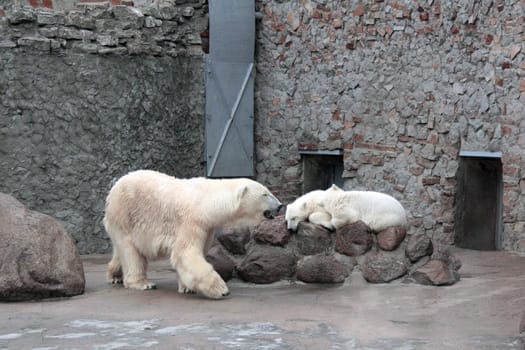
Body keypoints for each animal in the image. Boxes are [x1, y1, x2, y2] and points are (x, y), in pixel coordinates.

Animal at [103, 169, 282, 298]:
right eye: (265, 193)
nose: (280, 206)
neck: (206, 202)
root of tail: (115, 186)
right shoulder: (191, 221)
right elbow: (185, 253)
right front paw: (221, 289)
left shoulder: (207, 227)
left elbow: (196, 253)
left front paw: (187, 287)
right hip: (125, 215)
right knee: (130, 252)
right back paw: (142, 283)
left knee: (121, 250)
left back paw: (115, 275)